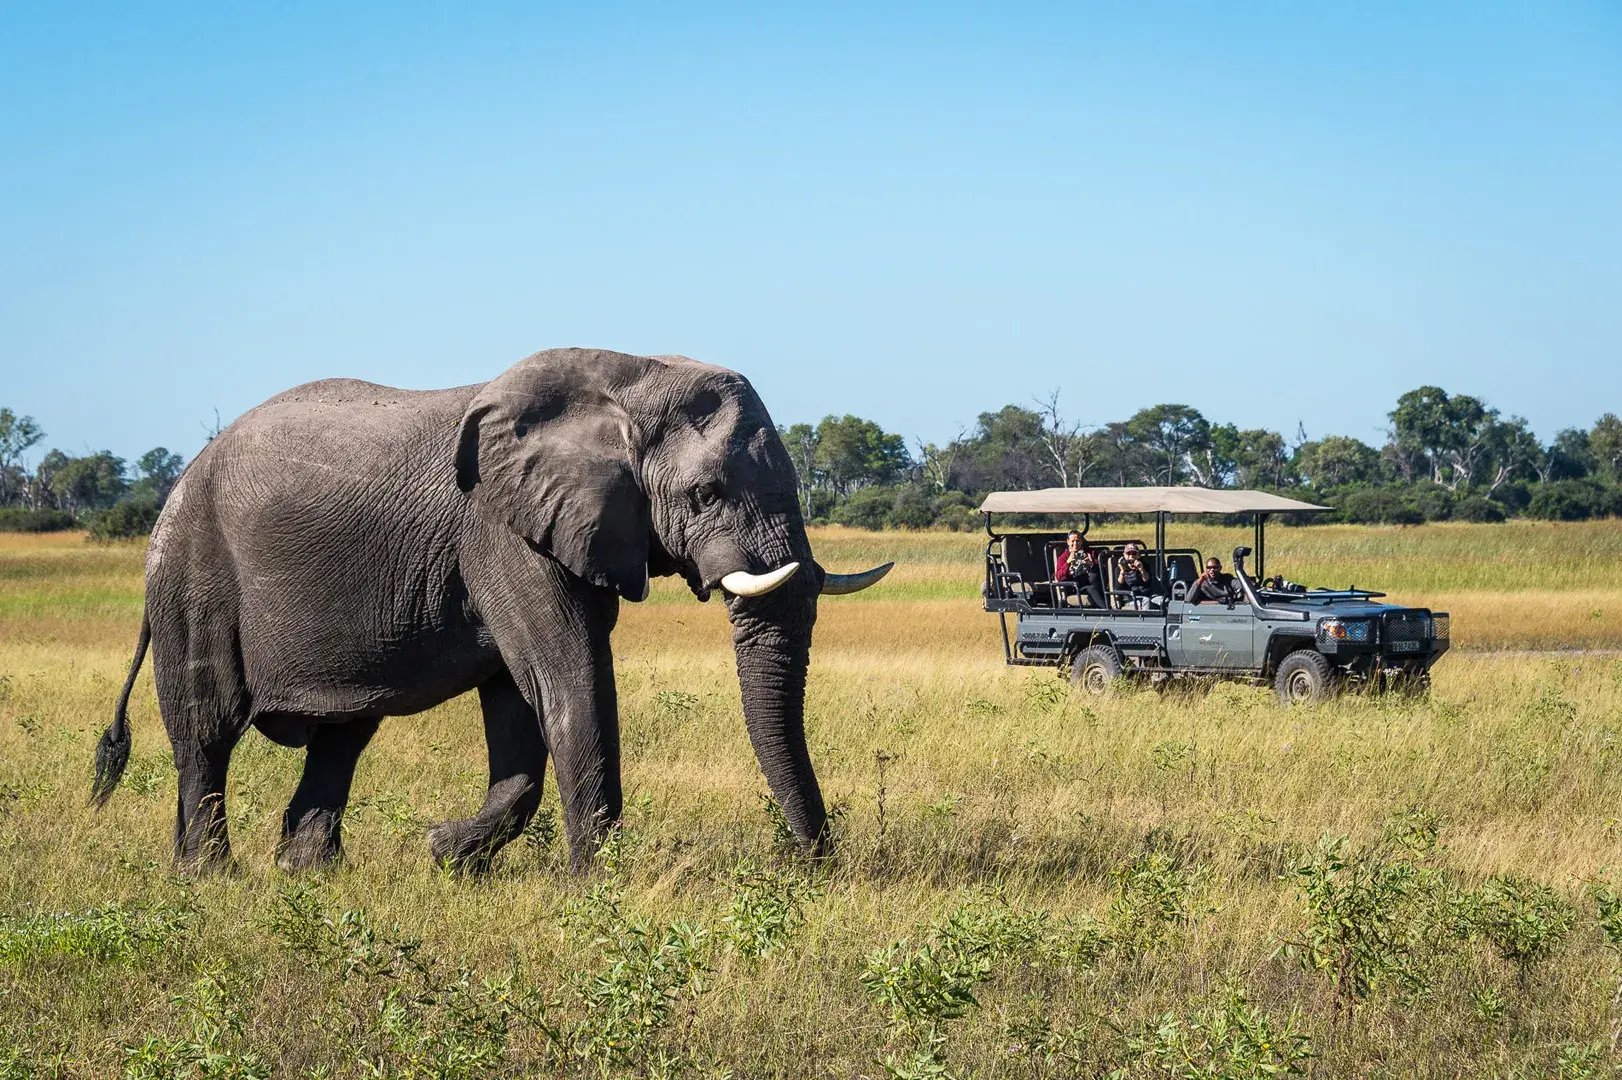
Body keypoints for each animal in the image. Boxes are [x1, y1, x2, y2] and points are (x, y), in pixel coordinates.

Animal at [92, 348, 888, 869]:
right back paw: (211, 878)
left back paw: (308, 875)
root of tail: (178, 484)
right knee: (207, 731)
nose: (814, 867)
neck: (630, 377)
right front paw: (596, 888)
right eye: (706, 494)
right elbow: (569, 680)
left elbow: (519, 705)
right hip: (193, 577)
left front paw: (444, 853)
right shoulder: (500, 533)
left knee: (340, 737)